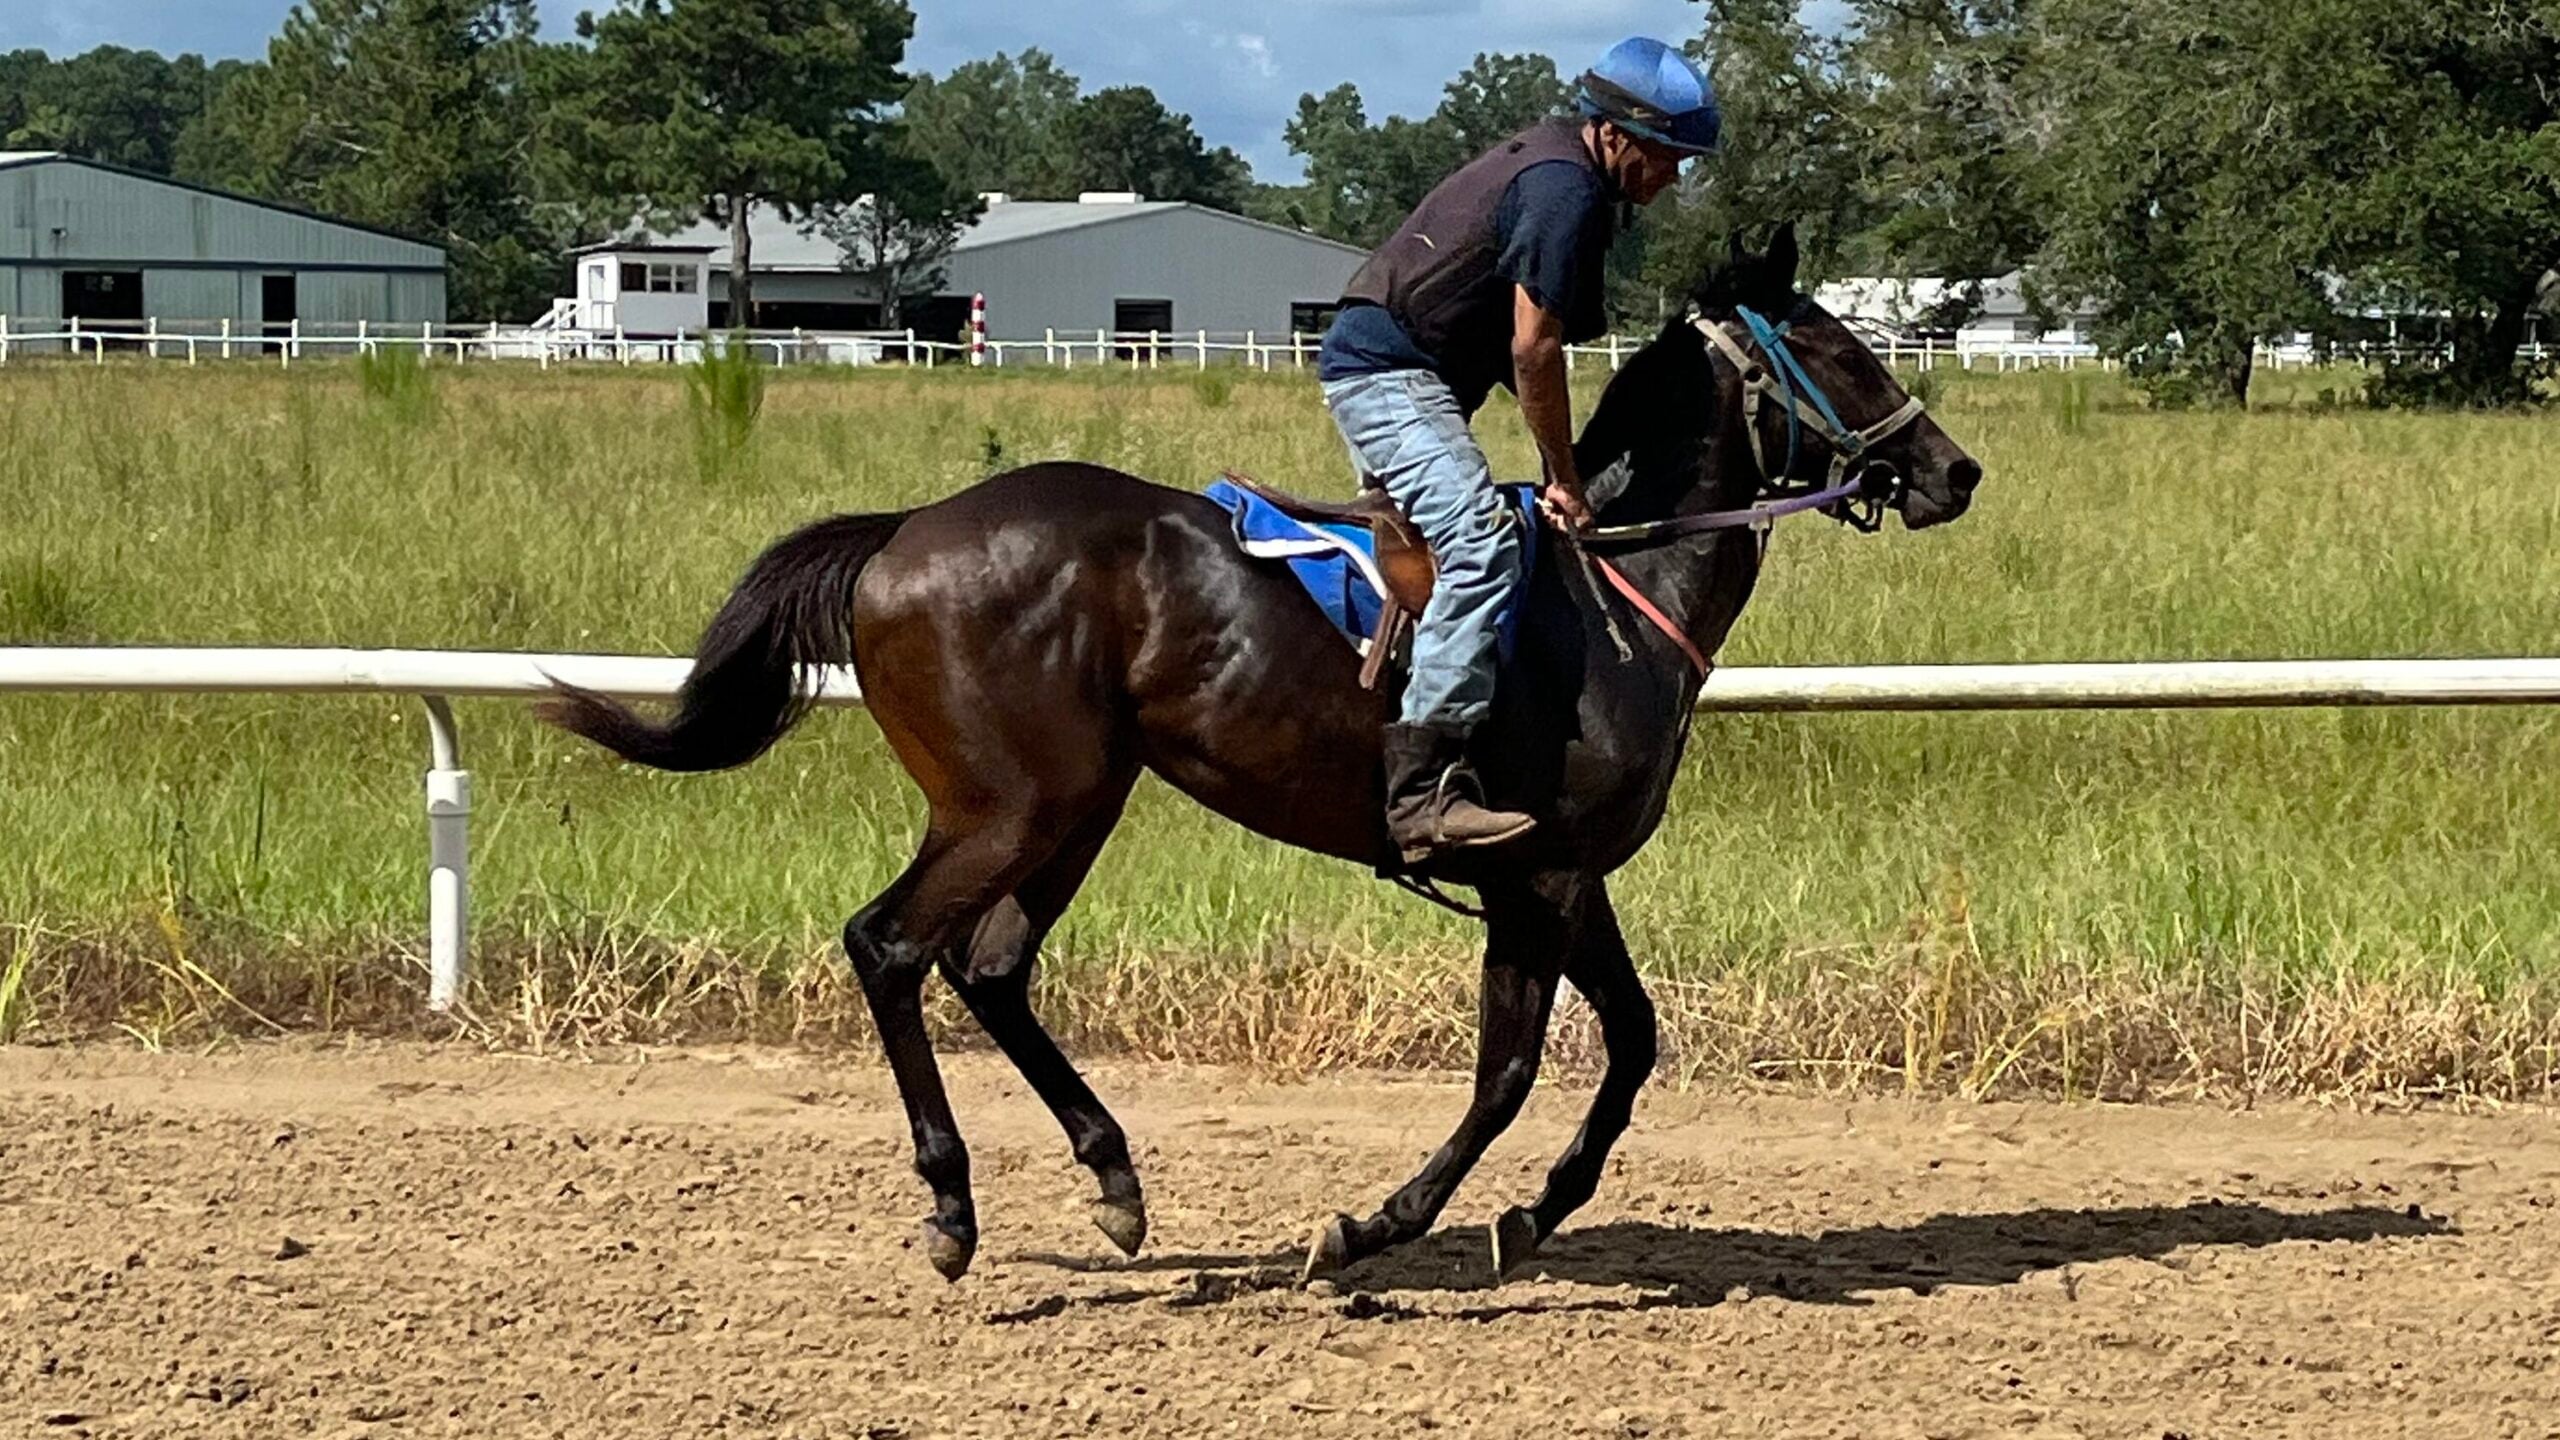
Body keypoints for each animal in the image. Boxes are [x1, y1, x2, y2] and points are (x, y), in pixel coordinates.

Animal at [540, 226, 1983, 1285]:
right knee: (890, 946)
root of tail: (904, 532)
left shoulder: (1561, 875)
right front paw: (1382, 1224)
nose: (1953, 469)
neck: (1616, 588)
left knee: (991, 967)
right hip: (1007, 803)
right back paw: (952, 1208)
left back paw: (1114, 1177)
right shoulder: (1540, 878)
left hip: (1082, 801)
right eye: (1833, 344)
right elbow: (1524, 1069)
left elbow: (1612, 1048)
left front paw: (1523, 1214)